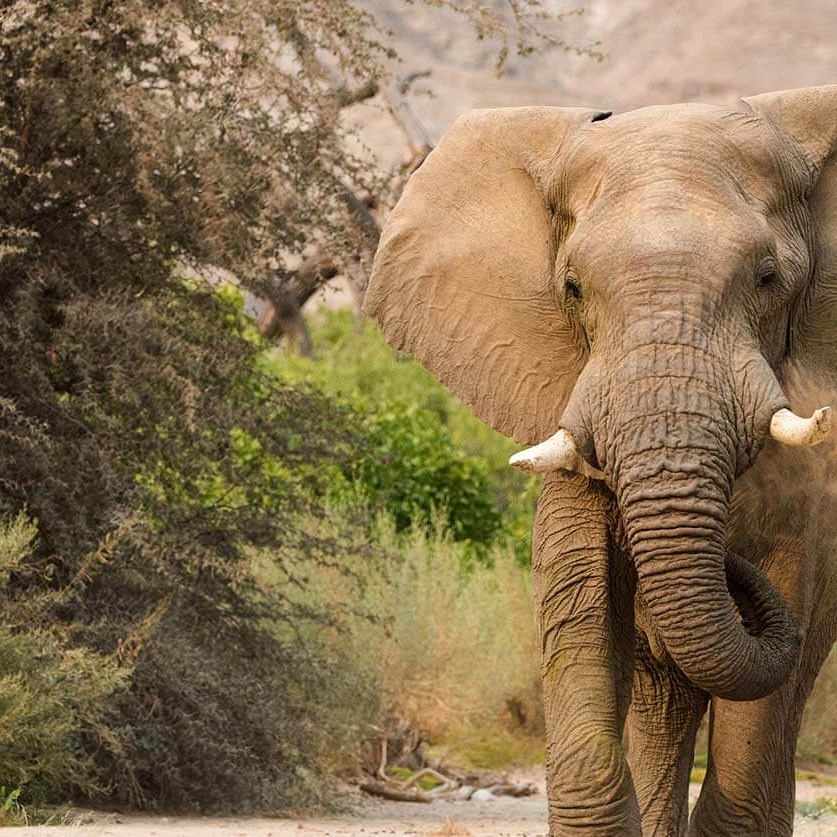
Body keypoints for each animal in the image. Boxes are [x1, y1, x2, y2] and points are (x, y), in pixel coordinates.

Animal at [366, 86, 837, 836]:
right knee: (662, 701)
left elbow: (785, 609)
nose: (730, 566)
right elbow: (580, 598)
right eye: (572, 288)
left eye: (768, 279)